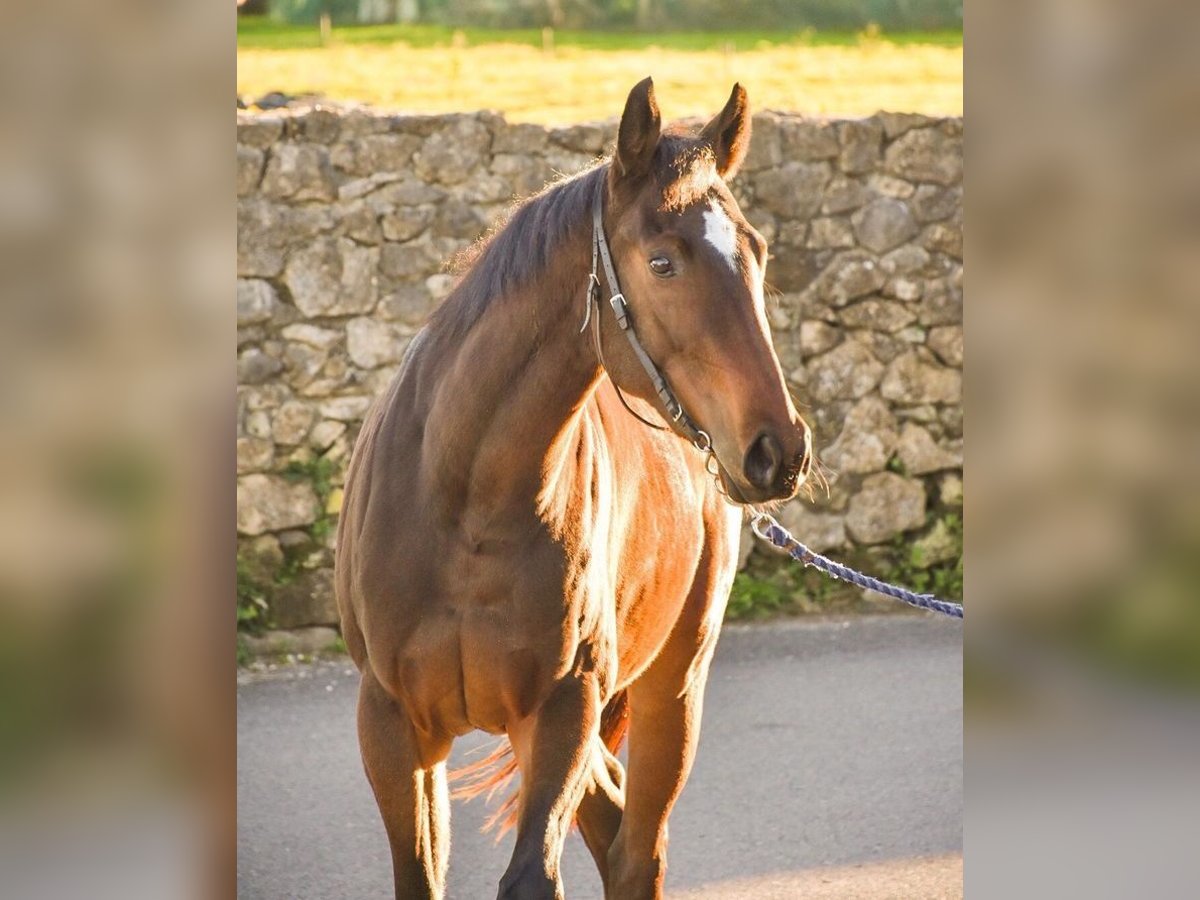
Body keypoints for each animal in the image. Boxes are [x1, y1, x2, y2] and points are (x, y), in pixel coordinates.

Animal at [333, 79, 811, 900]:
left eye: (756, 252)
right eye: (662, 262)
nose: (778, 450)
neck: (465, 505)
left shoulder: (562, 713)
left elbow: (534, 876)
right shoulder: (393, 729)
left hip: (672, 692)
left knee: (637, 849)